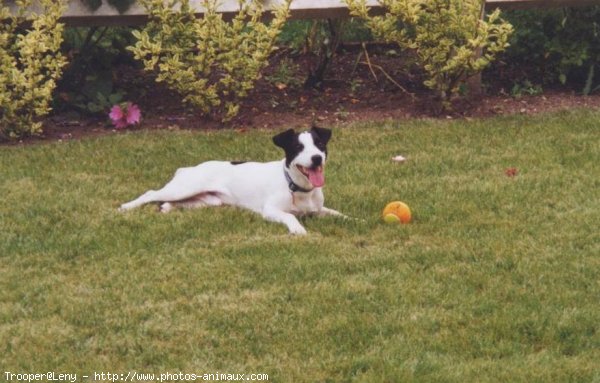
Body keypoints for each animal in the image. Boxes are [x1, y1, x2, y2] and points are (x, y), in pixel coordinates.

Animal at [119, 127, 344, 234]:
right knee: (150, 193)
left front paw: (351, 219)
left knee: (176, 203)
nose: (317, 158)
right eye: (298, 148)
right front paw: (298, 229)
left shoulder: (319, 210)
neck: (297, 187)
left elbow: (337, 213)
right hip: (184, 188)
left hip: (208, 200)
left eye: (320, 145)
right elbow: (290, 216)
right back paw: (125, 207)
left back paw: (167, 207)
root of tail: (187, 169)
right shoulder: (270, 211)